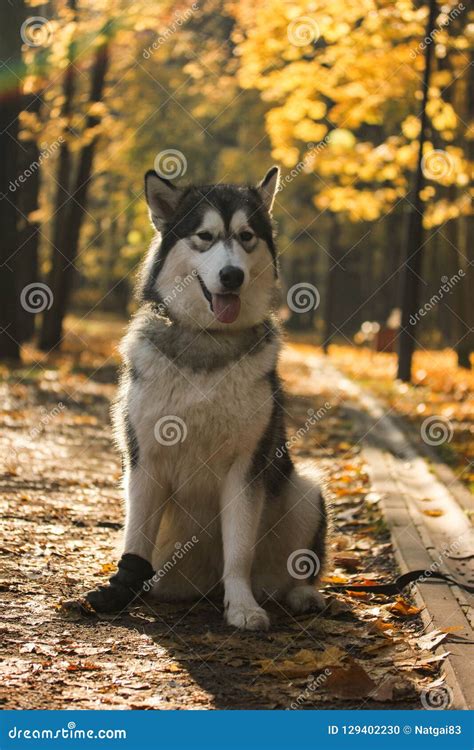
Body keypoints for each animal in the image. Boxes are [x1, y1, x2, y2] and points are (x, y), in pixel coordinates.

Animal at [86, 167, 326, 632]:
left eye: (246, 236)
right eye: (205, 236)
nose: (232, 276)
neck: (208, 340)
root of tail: (204, 586)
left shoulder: (247, 466)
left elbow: (239, 550)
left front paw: (243, 606)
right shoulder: (145, 460)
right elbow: (135, 540)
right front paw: (120, 591)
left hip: (306, 491)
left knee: (299, 567)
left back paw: (301, 594)